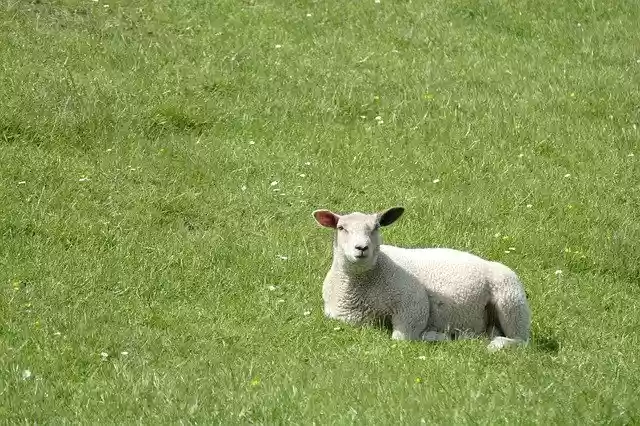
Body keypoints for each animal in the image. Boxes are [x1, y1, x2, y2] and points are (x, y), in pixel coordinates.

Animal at [312, 206, 531, 352]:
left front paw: (434, 336)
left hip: (511, 299)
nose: (362, 248)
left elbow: (402, 338)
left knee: (520, 341)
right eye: (341, 228)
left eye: (376, 227)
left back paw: (495, 344)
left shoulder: (413, 302)